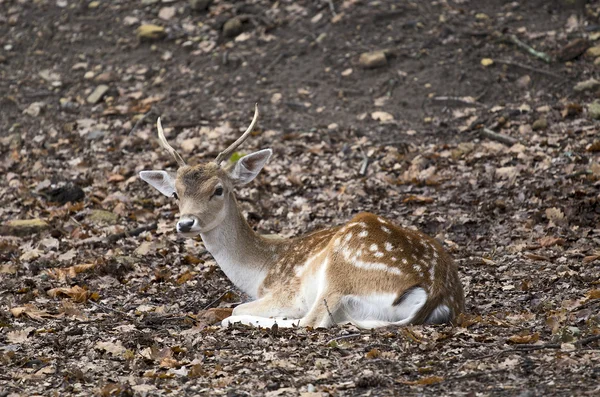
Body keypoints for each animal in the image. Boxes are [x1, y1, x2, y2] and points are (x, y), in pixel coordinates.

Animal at [139, 105, 464, 328]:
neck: (260, 271)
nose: (185, 223)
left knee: (311, 321)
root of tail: (437, 292)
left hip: (341, 270)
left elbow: (239, 307)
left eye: (218, 189)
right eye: (175, 194)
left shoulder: (287, 292)